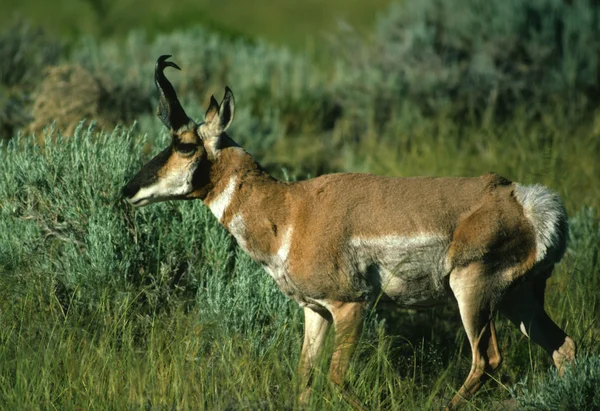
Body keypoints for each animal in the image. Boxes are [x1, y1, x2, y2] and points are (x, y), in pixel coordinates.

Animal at [122, 56, 576, 410]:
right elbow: (304, 376)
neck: (291, 210)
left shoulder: (351, 306)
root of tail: (524, 198)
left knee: (487, 360)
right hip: (519, 300)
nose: (127, 191)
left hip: (473, 292)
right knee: (563, 348)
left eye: (184, 146)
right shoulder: (314, 312)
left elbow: (336, 377)